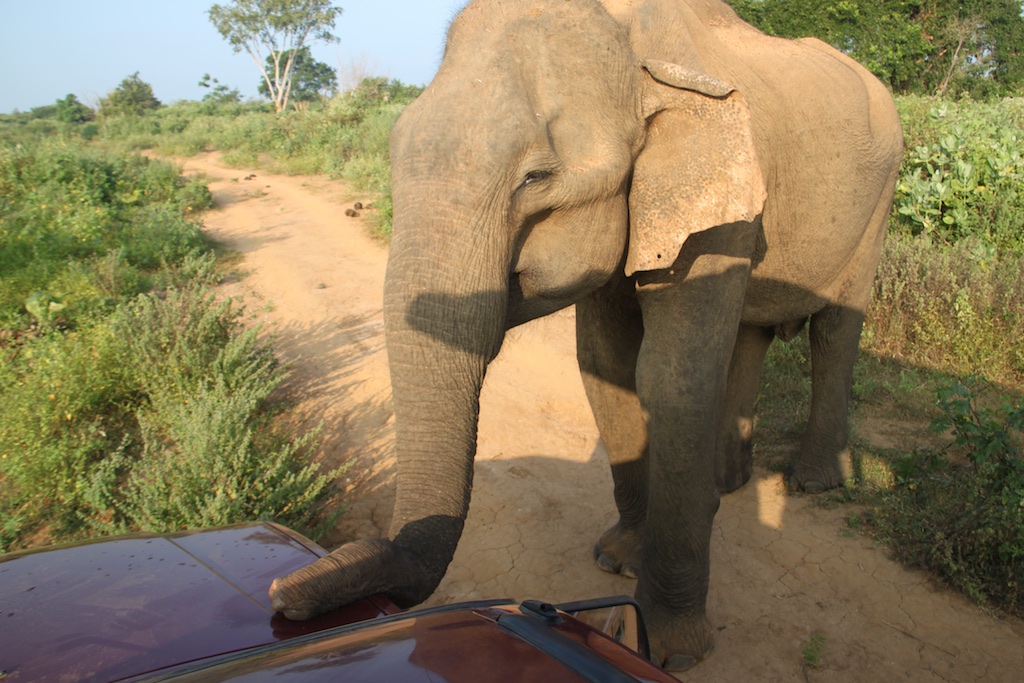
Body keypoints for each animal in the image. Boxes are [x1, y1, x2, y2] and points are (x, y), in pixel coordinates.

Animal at [272, 0, 905, 671]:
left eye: (536, 178)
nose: (284, 595)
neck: (636, 48)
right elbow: (606, 363)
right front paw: (617, 559)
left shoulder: (723, 201)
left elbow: (674, 377)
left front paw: (670, 649)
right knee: (754, 330)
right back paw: (729, 481)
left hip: (880, 199)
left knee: (836, 328)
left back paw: (813, 481)